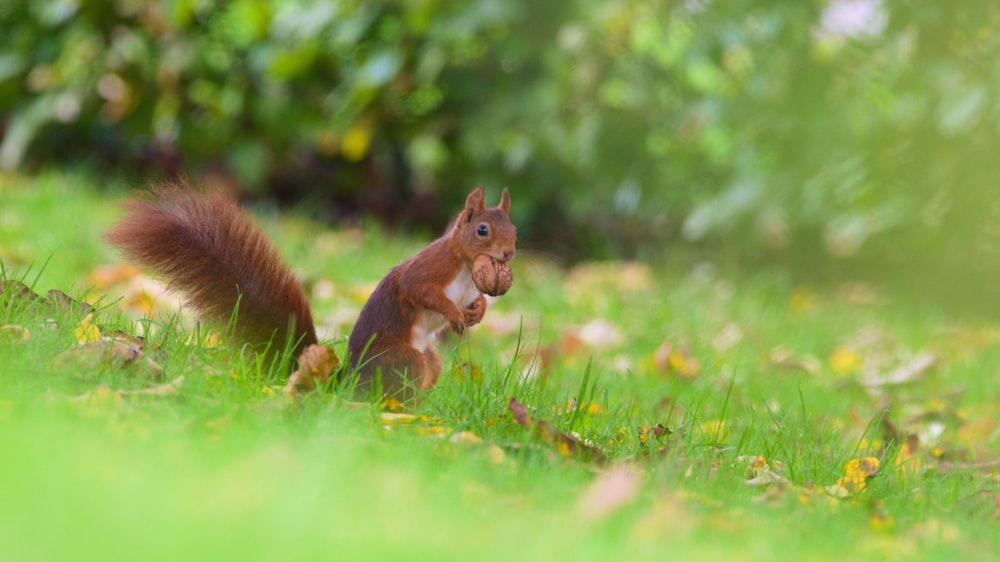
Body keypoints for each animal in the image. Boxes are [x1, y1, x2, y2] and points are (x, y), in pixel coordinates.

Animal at [107, 183, 516, 394]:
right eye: (482, 230)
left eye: (513, 228)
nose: (510, 253)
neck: (466, 265)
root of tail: (346, 383)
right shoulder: (431, 268)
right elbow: (421, 291)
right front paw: (453, 314)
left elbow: (476, 303)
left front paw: (475, 312)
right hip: (404, 361)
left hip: (428, 360)